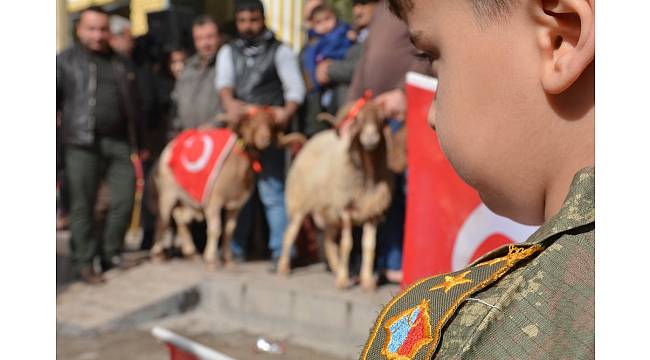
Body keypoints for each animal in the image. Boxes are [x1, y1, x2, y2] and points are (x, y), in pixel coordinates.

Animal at [276, 99, 398, 290]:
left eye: (380, 119)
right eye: (358, 120)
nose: (371, 138)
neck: (367, 175)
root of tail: (307, 142)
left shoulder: (372, 213)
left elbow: (369, 247)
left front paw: (367, 282)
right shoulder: (345, 209)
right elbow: (347, 245)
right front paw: (342, 281)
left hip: (330, 213)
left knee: (327, 241)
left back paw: (335, 268)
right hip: (300, 205)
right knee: (289, 235)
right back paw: (283, 268)